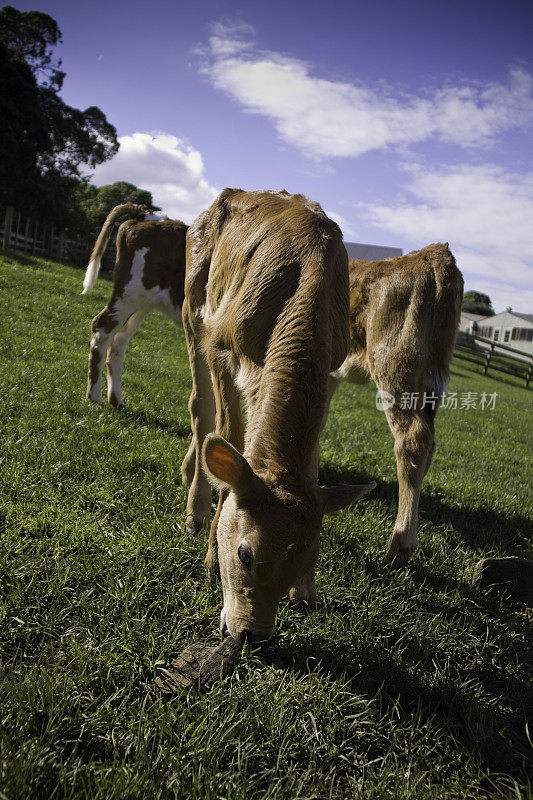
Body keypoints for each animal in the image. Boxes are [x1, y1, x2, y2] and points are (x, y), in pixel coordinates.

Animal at [82, 203, 188, 410]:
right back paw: (95, 396)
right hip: (130, 293)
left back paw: (116, 400)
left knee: (118, 341)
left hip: (141, 305)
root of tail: (145, 213)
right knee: (101, 328)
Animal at [183, 189, 374, 644]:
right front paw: (210, 556)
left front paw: (306, 592)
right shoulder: (220, 343)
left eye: (309, 559)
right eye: (244, 554)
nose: (252, 635)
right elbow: (229, 435)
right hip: (192, 306)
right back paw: (195, 510)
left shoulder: (332, 366)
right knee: (200, 409)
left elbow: (313, 455)